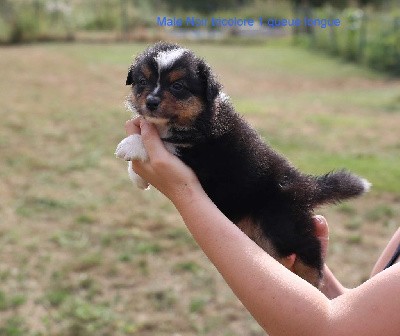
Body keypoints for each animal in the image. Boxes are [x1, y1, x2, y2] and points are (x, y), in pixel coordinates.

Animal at [115, 42, 368, 286]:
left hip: (279, 223)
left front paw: (129, 145)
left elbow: (165, 144)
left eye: (178, 86)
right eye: (142, 81)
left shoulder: (200, 152)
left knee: (310, 248)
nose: (151, 102)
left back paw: (312, 280)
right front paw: (137, 176)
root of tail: (302, 184)